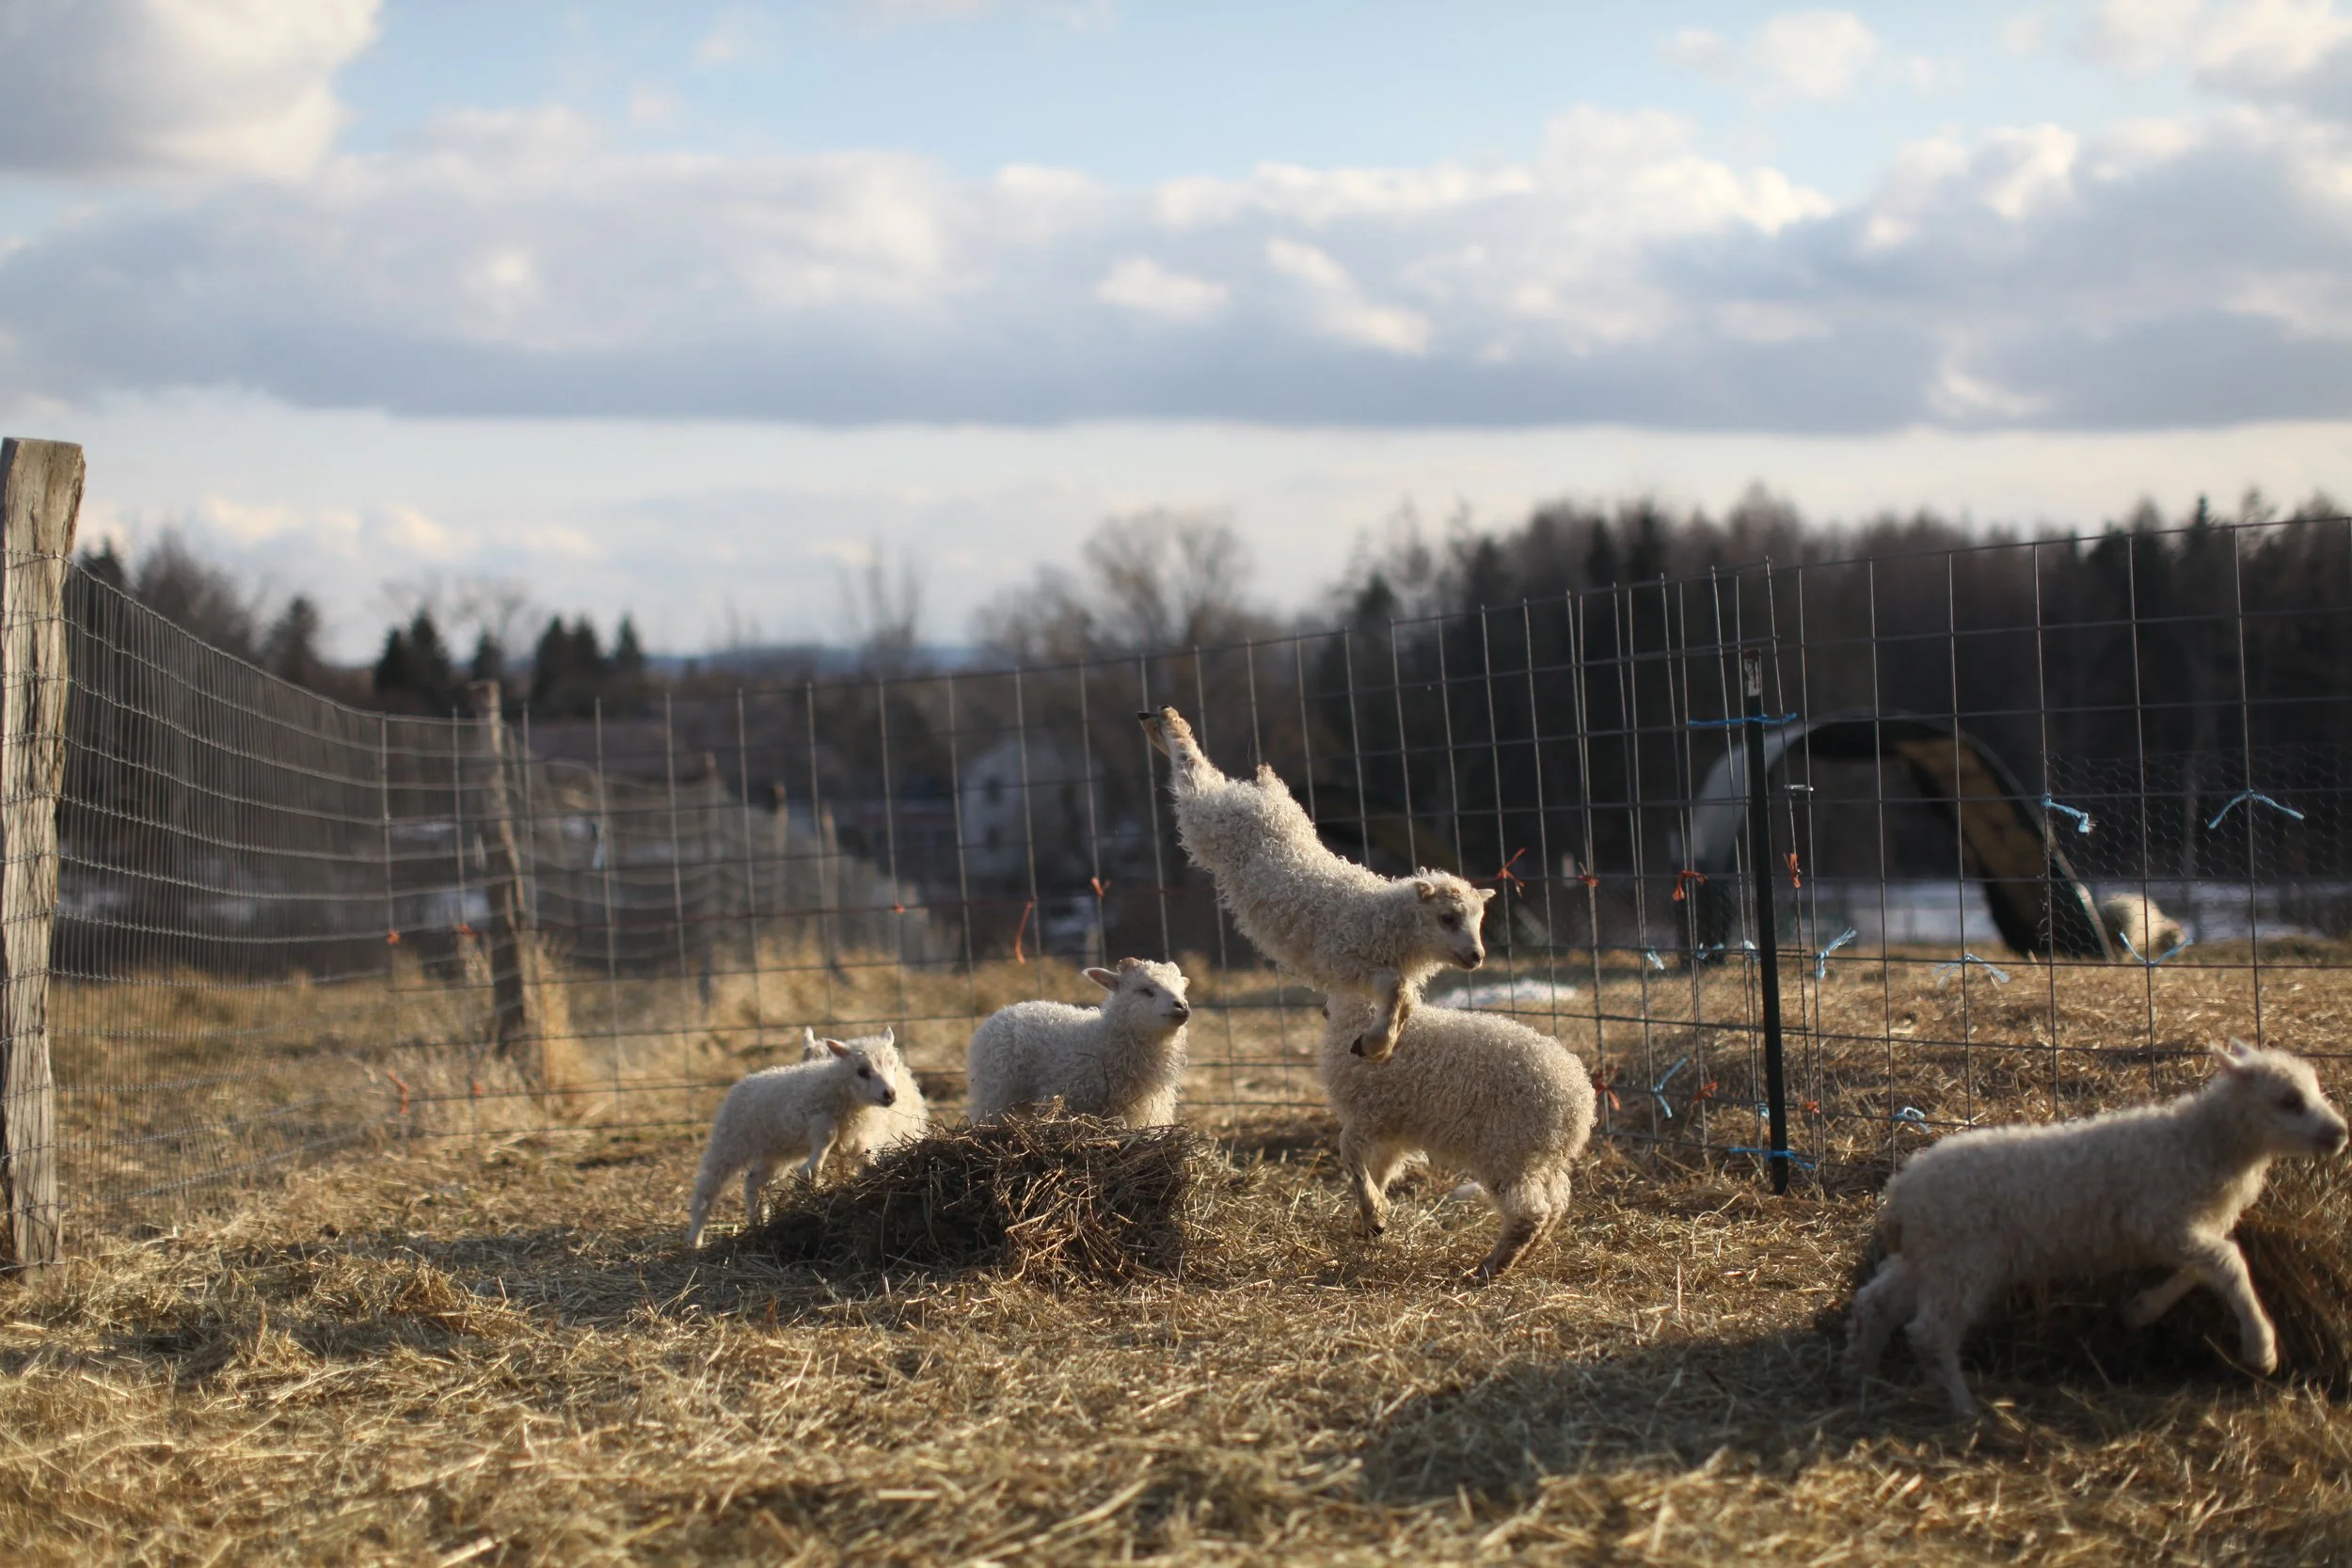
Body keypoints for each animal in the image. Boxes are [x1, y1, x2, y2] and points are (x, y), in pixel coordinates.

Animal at [684, 1032, 905, 1247]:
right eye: (862, 1071)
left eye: (894, 1067)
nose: (890, 1094)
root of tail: (741, 1084)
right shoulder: (806, 1115)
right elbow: (828, 1134)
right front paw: (811, 1171)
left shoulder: (857, 1137)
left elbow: (865, 1154)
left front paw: (877, 1169)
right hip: (730, 1142)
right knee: (707, 1187)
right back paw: (695, 1238)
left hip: (777, 1153)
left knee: (753, 1182)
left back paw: (758, 1223)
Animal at [965, 957, 1191, 1125]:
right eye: (1145, 990)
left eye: (1182, 990)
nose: (1181, 1006)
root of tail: (1006, 1010)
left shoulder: (1143, 1112)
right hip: (993, 1093)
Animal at [1137, 704, 1493, 1061]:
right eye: (1447, 918)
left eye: (1479, 919)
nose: (1477, 956)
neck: (1384, 916)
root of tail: (1263, 794)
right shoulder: (1343, 960)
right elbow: (1396, 988)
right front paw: (1376, 1043)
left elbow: (1404, 1002)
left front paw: (1378, 1044)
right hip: (1209, 820)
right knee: (1193, 773)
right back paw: (1168, 723)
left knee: (1207, 774)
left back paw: (1157, 729)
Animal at [1318, 995, 1596, 1279]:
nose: (1324, 1009)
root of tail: (1579, 1105)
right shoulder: (1393, 1130)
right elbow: (1380, 1171)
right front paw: (1370, 1218)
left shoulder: (1369, 1115)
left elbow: (1350, 1153)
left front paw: (1371, 1214)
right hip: (1540, 1158)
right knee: (1556, 1205)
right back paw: (1521, 1257)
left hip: (1507, 1152)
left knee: (1529, 1214)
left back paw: (1487, 1270)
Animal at [1845, 1040, 2348, 1417]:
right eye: (2289, 1100)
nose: (2340, 1133)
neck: (2203, 1142)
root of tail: (1899, 1194)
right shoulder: (2160, 1221)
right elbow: (2228, 1261)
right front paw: (2261, 1347)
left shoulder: (2178, 1231)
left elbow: (2204, 1267)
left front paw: (2140, 1310)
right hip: (1962, 1262)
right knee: (1929, 1332)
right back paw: (1966, 1408)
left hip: (1927, 1260)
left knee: (1874, 1304)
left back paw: (1864, 1380)